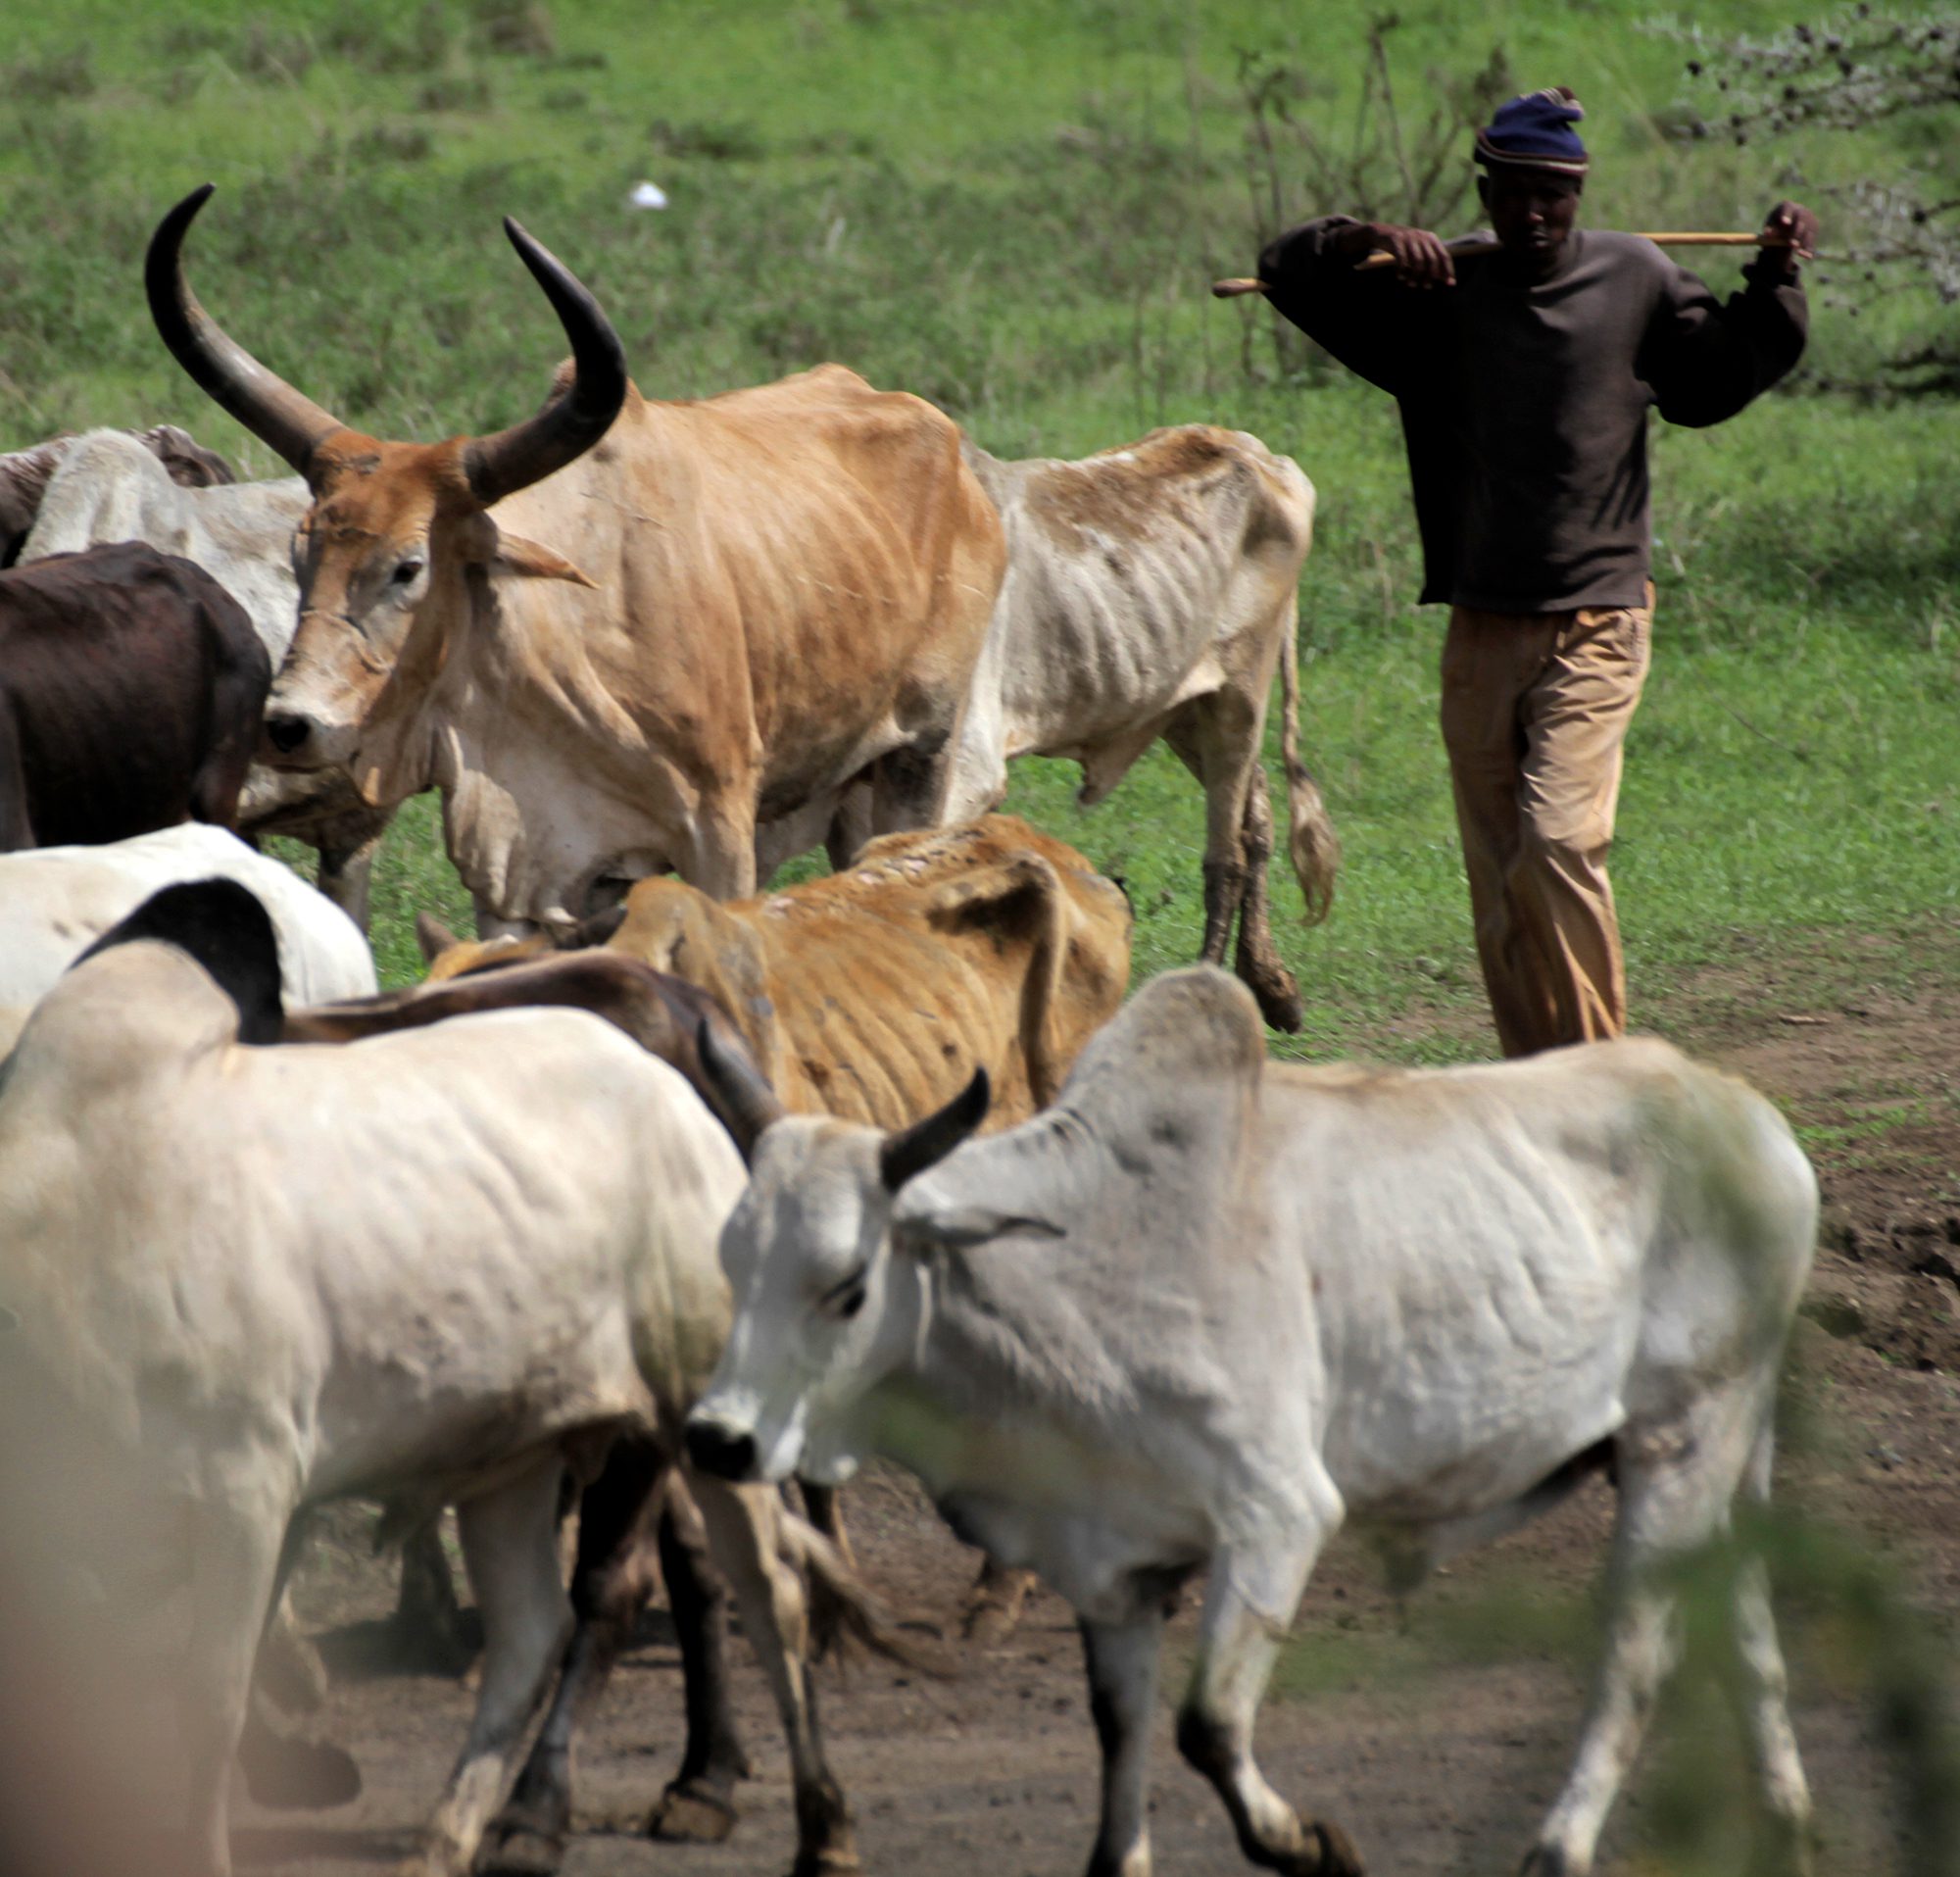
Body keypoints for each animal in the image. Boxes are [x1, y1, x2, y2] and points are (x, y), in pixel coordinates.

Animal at [0, 889, 866, 1877]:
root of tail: (681, 1027)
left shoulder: (246, 1483)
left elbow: (213, 1692)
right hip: (535, 1444)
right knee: (574, 1611)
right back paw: (623, 1795)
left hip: (676, 1409)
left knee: (710, 1586)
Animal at [145, 186, 1004, 936]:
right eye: (302, 553)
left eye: (408, 567)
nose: (289, 725)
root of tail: (957, 455)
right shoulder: (518, 865)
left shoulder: (719, 833)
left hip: (919, 757)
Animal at [694, 971, 1819, 1877]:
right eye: (730, 1259)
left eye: (846, 1285)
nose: (716, 1437)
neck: (1063, 1272)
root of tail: (1751, 1118)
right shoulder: (1110, 1564)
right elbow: (1121, 1741)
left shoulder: (1276, 1512)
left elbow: (1206, 1725)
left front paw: (1313, 1843)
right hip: (1713, 1445)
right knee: (1749, 1615)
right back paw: (1784, 1822)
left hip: (1680, 1433)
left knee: (1637, 1651)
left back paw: (1559, 1846)